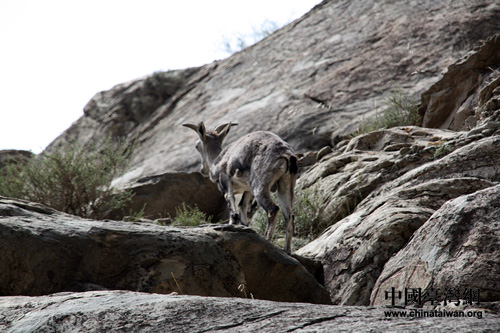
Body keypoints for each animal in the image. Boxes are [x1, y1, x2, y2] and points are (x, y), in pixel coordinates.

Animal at [186, 121, 298, 252]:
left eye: (197, 146)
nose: (203, 170)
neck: (217, 160)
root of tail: (286, 154)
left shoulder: (225, 180)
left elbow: (231, 204)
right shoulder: (247, 189)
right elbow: (242, 206)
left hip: (259, 185)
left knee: (273, 209)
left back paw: (268, 241)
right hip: (286, 185)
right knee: (289, 216)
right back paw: (287, 250)